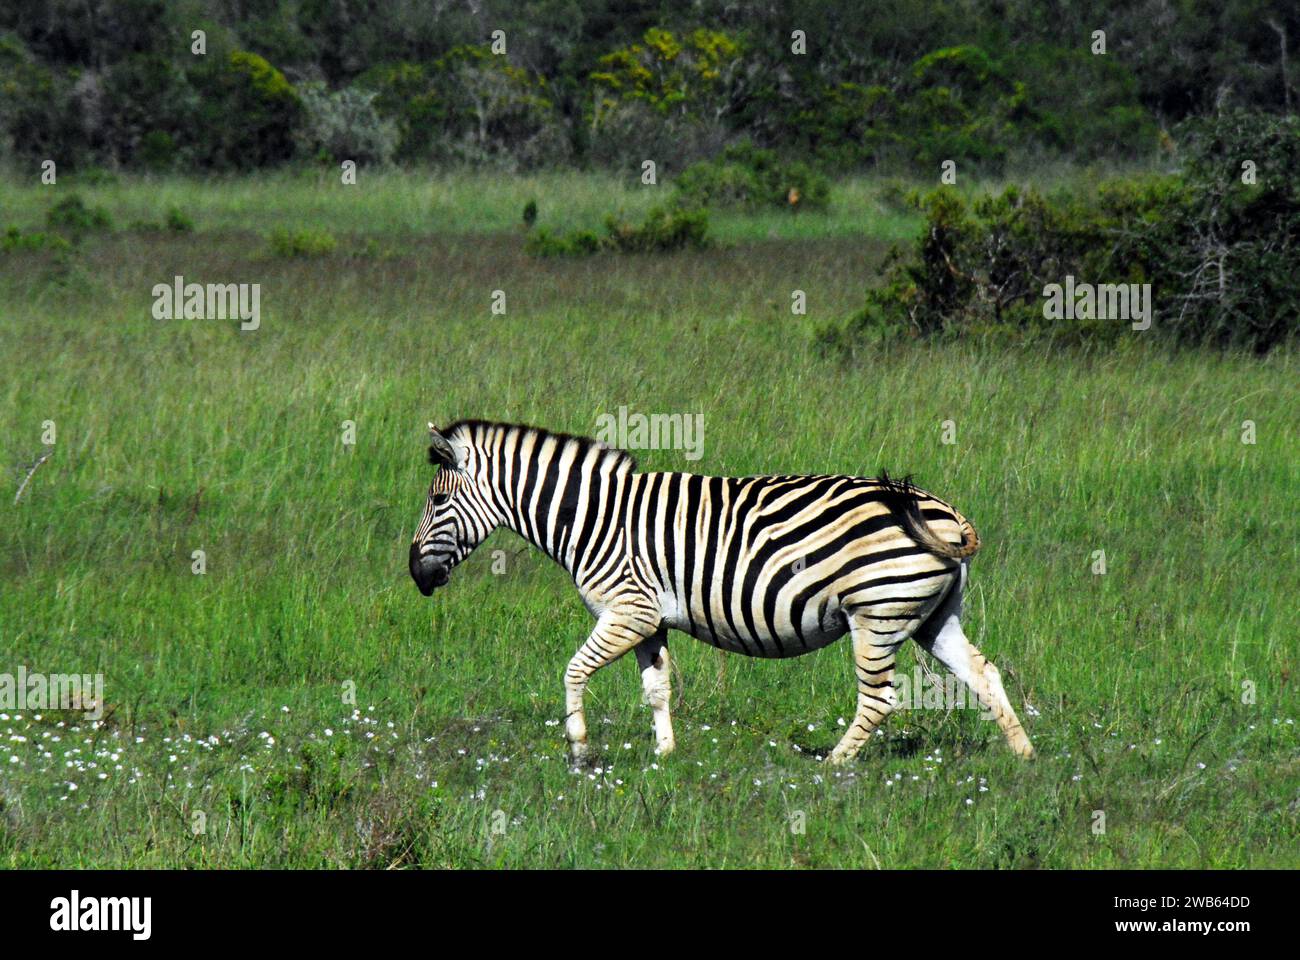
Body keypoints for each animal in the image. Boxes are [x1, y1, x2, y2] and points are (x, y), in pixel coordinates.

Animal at [408, 418, 1034, 764]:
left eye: (437, 501)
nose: (416, 576)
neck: (592, 518)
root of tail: (945, 512)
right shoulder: (650, 621)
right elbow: (656, 690)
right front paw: (666, 757)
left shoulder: (627, 609)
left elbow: (574, 670)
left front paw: (580, 749)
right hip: (929, 616)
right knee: (983, 674)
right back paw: (1024, 757)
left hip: (876, 614)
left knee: (880, 699)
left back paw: (831, 767)